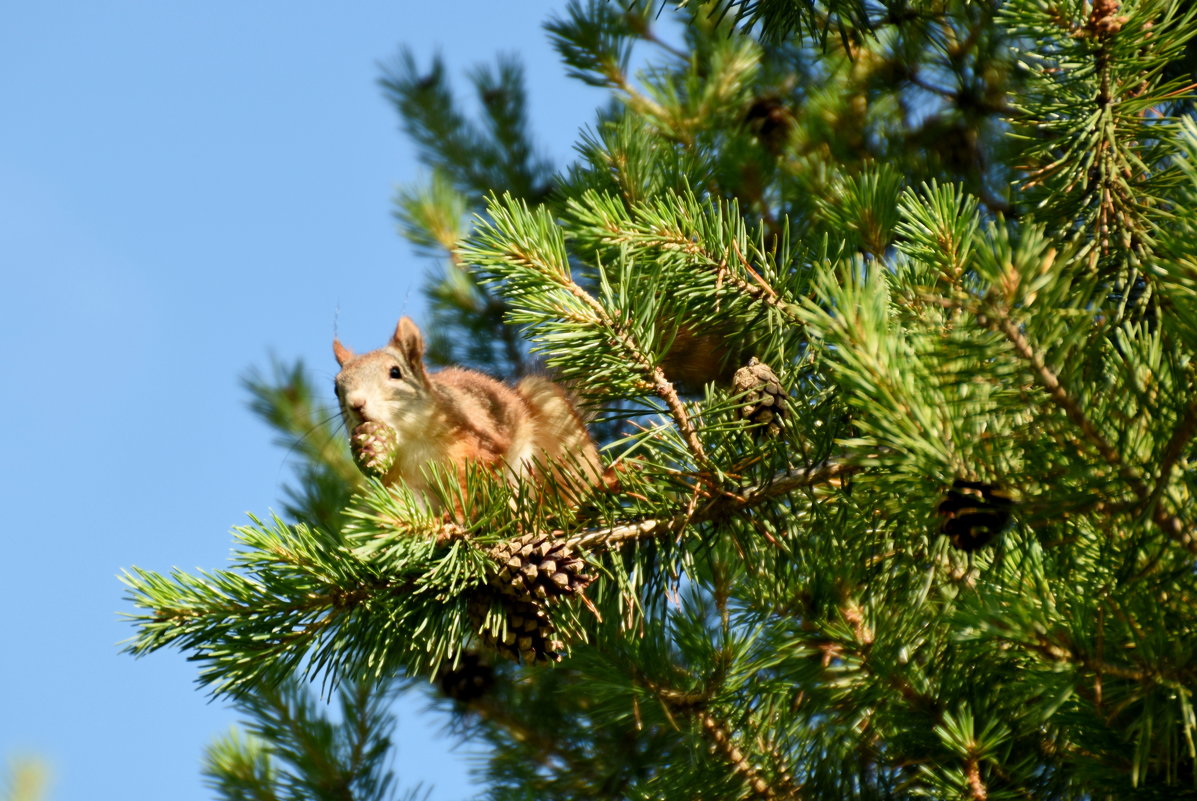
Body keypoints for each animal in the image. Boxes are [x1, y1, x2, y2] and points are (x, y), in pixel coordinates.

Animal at [335, 316, 608, 510]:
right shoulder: (401, 482)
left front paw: (458, 517)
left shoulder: (468, 443)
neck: (411, 442)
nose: (356, 403)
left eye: (395, 372)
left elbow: (468, 485)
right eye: (336, 387)